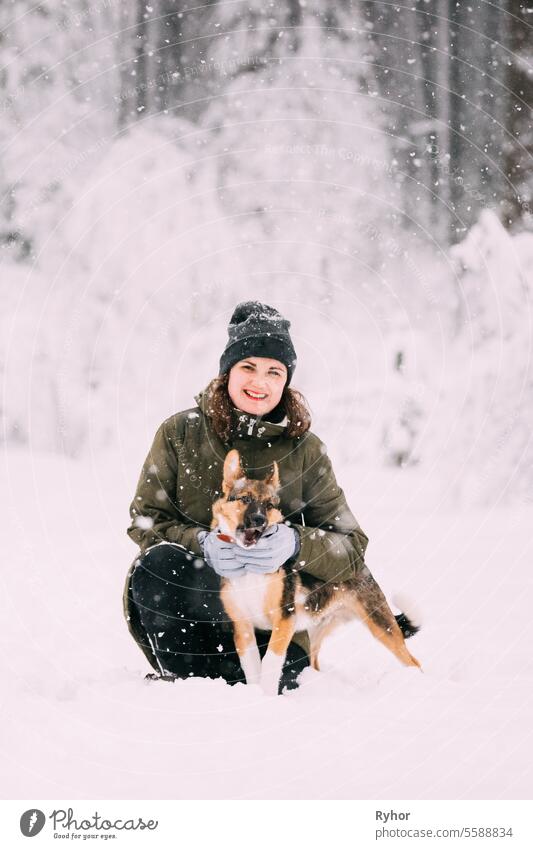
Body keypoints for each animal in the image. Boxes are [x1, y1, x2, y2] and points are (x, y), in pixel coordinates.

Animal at [212, 448, 420, 692]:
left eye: (269, 505)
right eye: (244, 499)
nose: (259, 520)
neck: (249, 568)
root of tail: (361, 566)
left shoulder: (284, 620)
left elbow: (270, 662)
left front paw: (266, 696)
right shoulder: (243, 628)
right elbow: (252, 669)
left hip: (380, 625)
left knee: (414, 662)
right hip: (317, 630)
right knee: (315, 662)